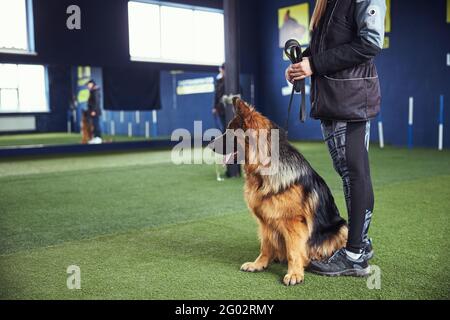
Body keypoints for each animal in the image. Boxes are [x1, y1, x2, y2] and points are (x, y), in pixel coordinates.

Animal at [208, 98, 348, 284]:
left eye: (230, 132)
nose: (208, 145)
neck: (263, 170)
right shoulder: (265, 221)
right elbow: (266, 246)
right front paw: (259, 264)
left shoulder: (294, 222)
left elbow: (294, 251)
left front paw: (294, 273)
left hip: (342, 227)